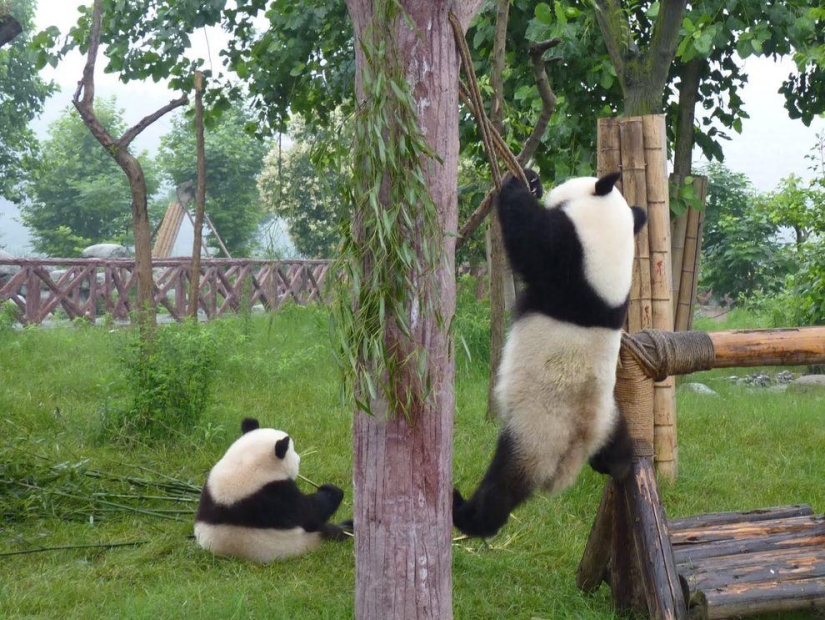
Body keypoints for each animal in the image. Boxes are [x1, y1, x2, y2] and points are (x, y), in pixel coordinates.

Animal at [194, 417, 352, 562]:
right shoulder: (275, 496)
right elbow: (310, 513)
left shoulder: (210, 485)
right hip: (306, 540)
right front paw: (331, 490)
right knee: (330, 532)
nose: (299, 459)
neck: (246, 464)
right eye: (292, 451)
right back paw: (347, 529)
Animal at [453, 171, 647, 538]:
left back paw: (466, 513)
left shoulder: (570, 257)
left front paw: (517, 186)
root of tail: (578, 444)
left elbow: (529, 241)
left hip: (536, 432)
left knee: (504, 486)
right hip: (609, 414)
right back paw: (615, 463)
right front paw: (531, 180)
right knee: (619, 446)